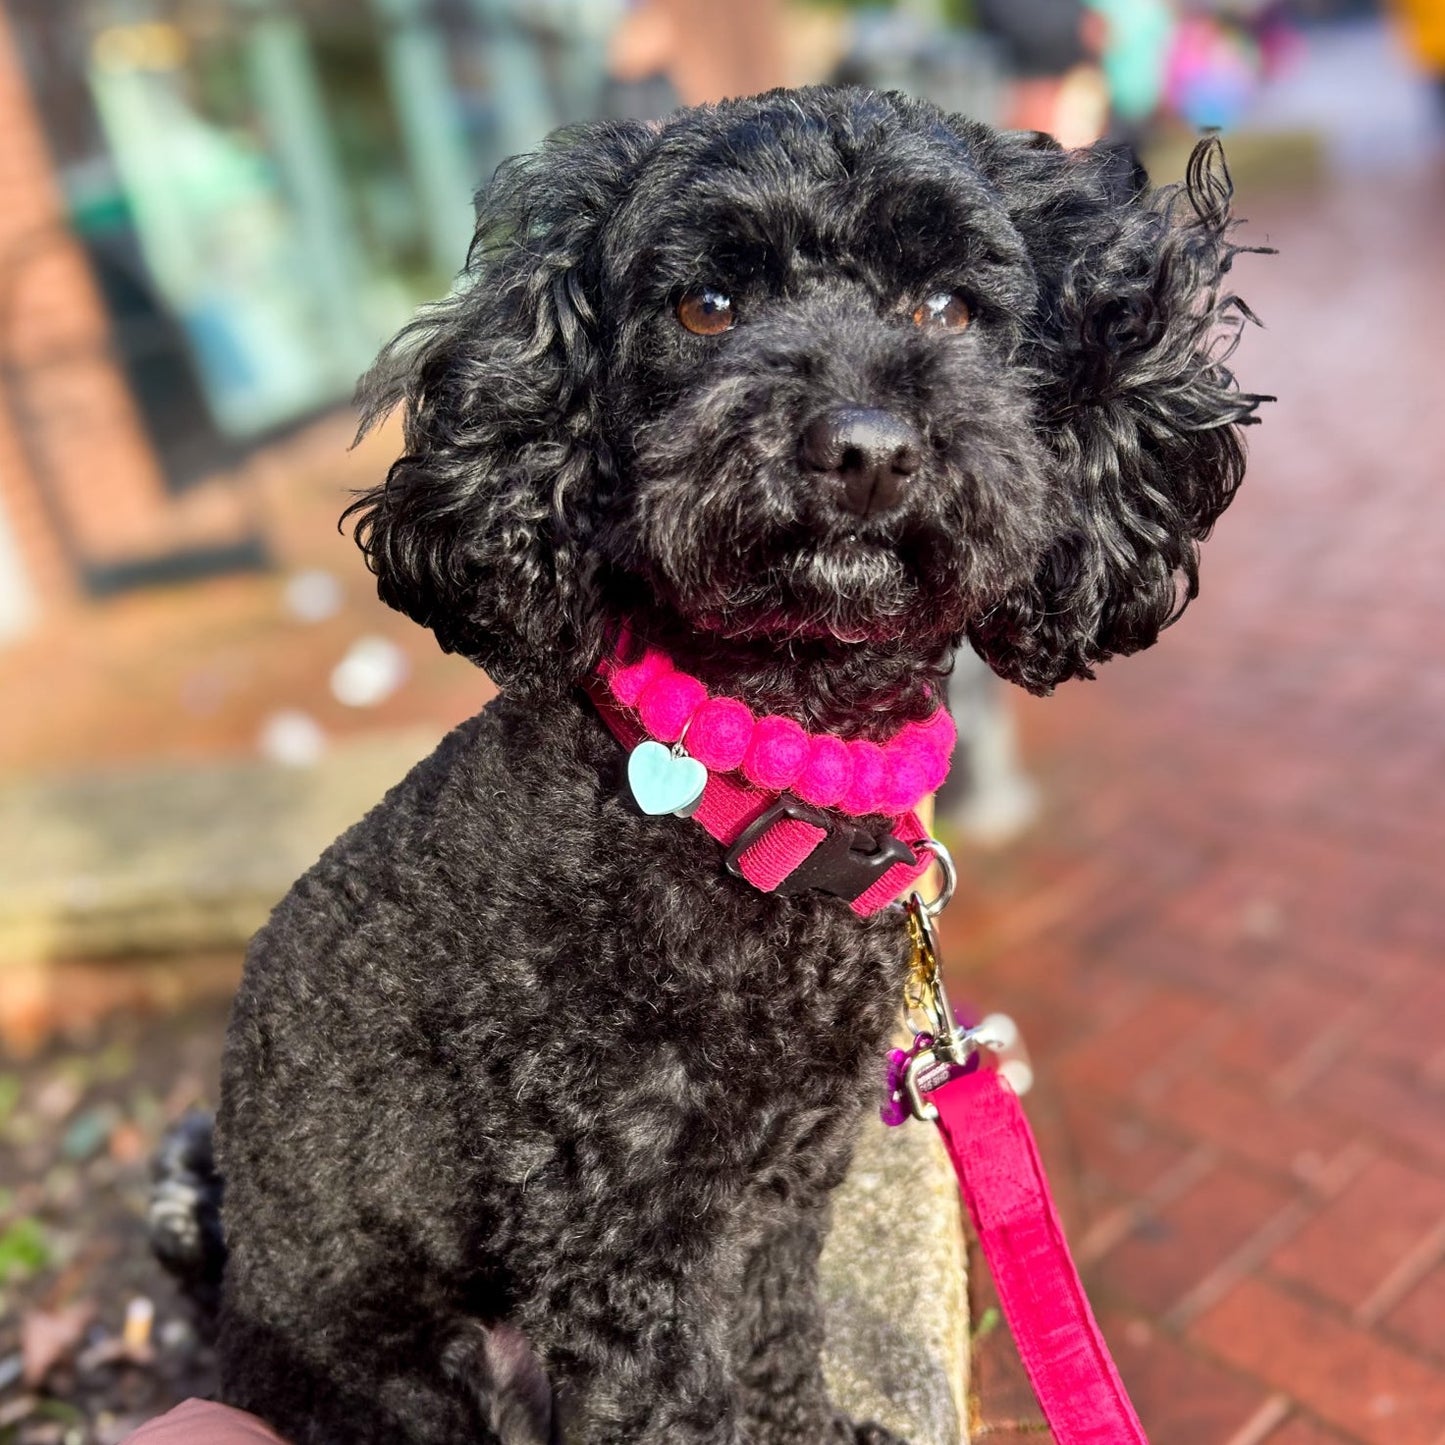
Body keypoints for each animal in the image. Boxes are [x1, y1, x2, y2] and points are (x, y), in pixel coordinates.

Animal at [152, 87, 1265, 1433]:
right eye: (705, 306)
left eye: (947, 308)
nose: (864, 447)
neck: (764, 776)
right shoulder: (618, 1228)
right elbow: (675, 1401)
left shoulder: (782, 1184)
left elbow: (777, 1337)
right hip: (413, 1366)